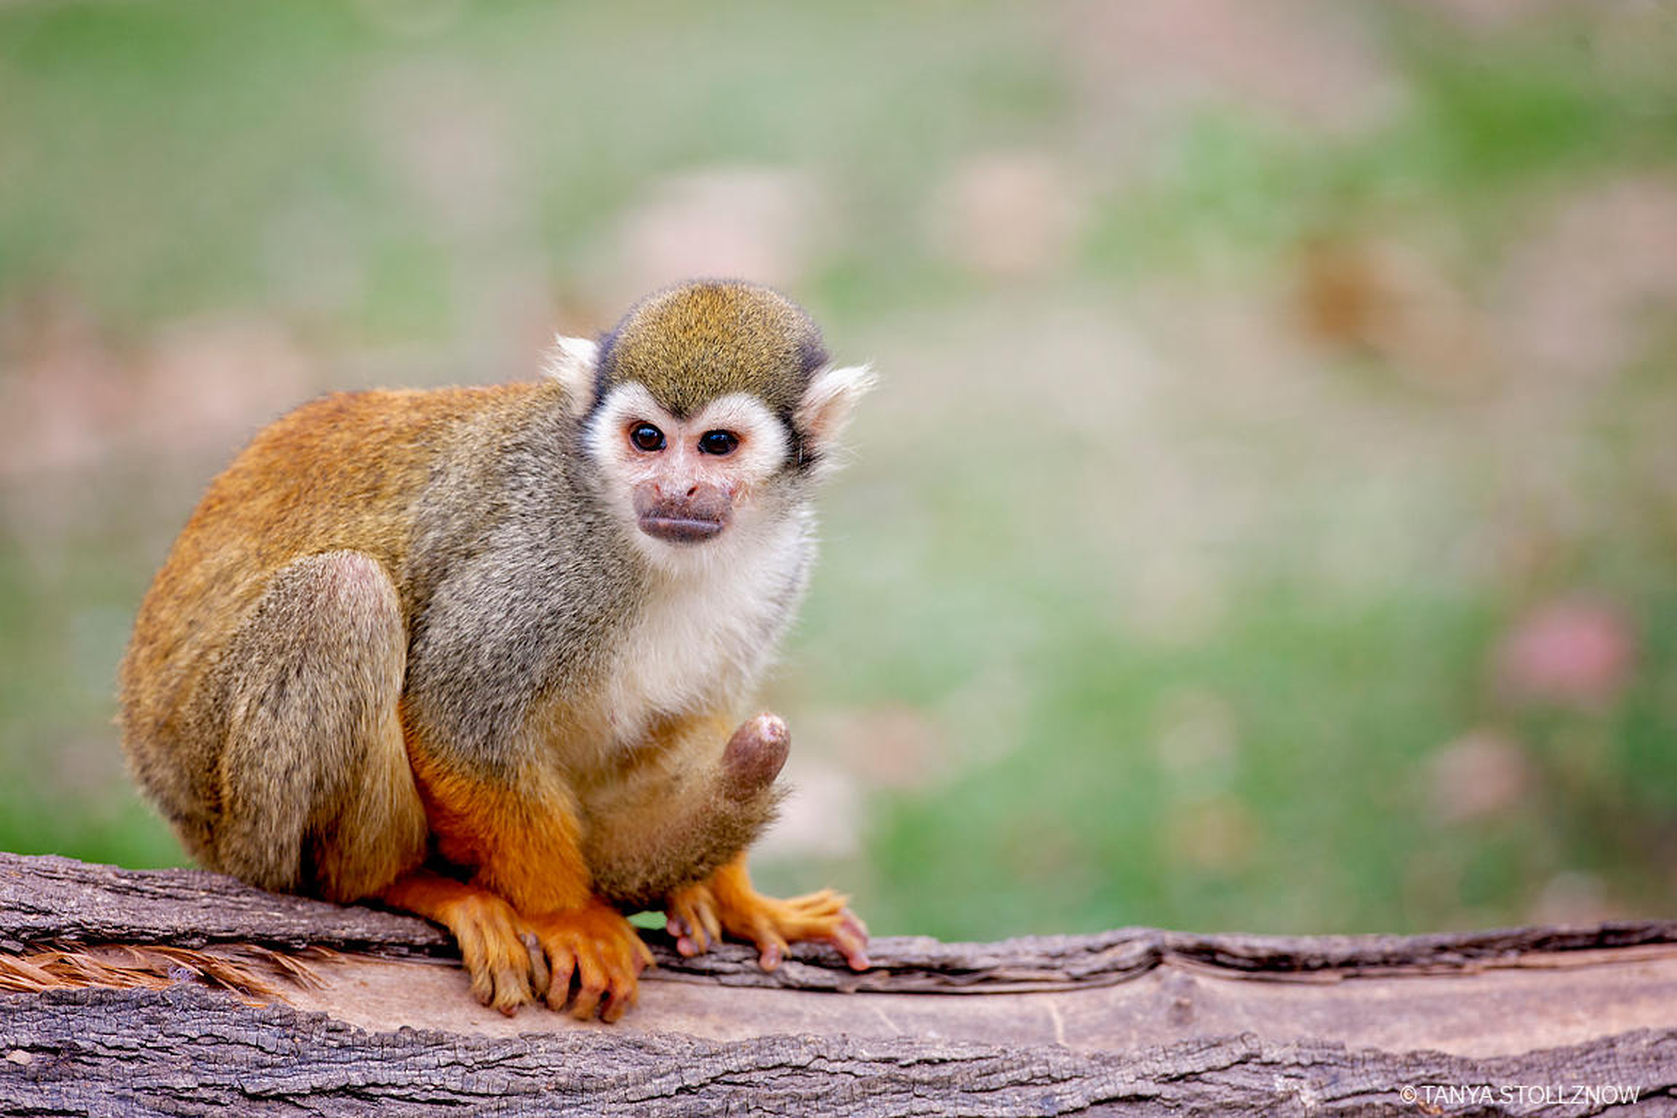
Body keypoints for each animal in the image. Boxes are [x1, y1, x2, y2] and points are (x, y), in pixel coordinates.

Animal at [118, 280, 873, 1022]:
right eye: (647, 439)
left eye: (717, 444)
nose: (674, 488)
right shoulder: (543, 558)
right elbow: (458, 721)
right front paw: (569, 917)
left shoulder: (784, 565)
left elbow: (707, 713)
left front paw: (738, 900)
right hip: (239, 819)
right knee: (343, 594)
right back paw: (395, 883)